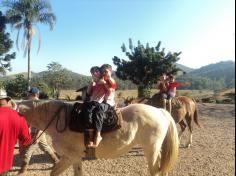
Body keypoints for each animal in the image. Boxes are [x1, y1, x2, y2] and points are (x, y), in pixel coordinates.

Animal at [18, 100, 179, 176]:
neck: (61, 120)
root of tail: (160, 111)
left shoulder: (70, 157)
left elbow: (54, 173)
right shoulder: (75, 158)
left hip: (151, 150)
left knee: (155, 170)